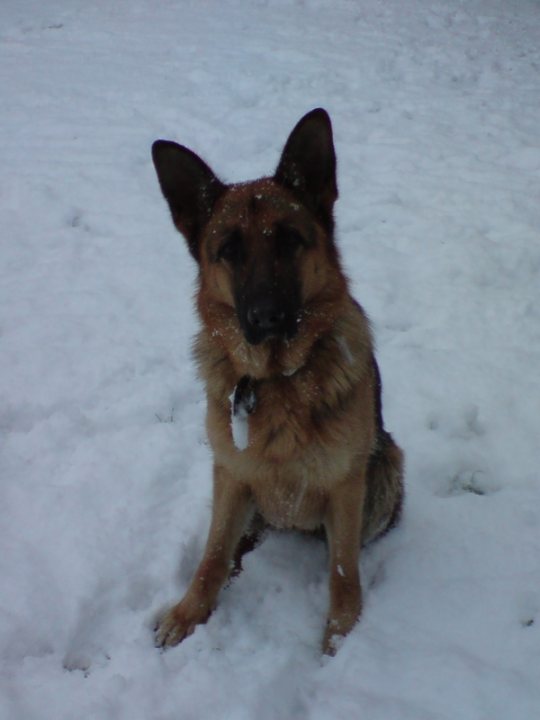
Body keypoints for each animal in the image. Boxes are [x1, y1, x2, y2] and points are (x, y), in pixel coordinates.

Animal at [150, 109, 402, 656]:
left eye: (289, 239)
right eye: (228, 250)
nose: (266, 318)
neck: (278, 379)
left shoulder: (346, 485)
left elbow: (343, 570)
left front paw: (341, 640)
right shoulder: (229, 473)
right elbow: (212, 555)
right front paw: (189, 612)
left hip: (386, 463)